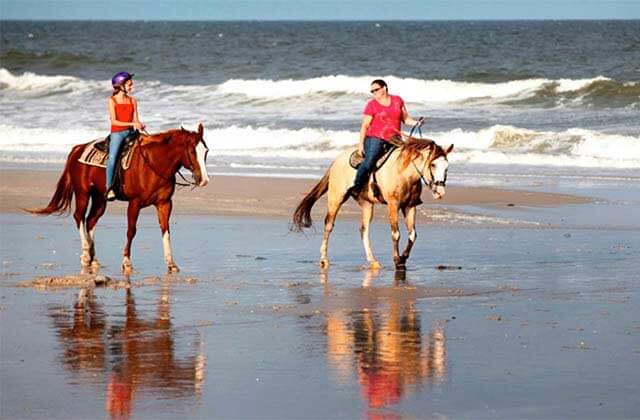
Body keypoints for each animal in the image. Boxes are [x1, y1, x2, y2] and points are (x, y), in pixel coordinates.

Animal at [28, 124, 210, 276]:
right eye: (192, 152)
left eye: (206, 152)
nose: (204, 180)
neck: (154, 164)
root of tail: (77, 149)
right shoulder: (134, 203)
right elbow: (131, 231)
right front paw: (126, 262)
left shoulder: (164, 204)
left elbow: (166, 231)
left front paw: (171, 264)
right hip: (82, 193)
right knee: (79, 217)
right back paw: (86, 254)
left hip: (99, 198)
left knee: (91, 220)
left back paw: (93, 259)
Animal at [292, 138, 452, 270]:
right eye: (433, 164)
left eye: (447, 167)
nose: (440, 192)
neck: (404, 174)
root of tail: (337, 160)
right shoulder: (393, 205)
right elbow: (396, 234)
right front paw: (397, 259)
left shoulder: (410, 206)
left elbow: (412, 235)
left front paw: (403, 258)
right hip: (336, 198)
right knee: (329, 225)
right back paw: (324, 259)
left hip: (367, 204)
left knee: (364, 230)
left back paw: (373, 261)